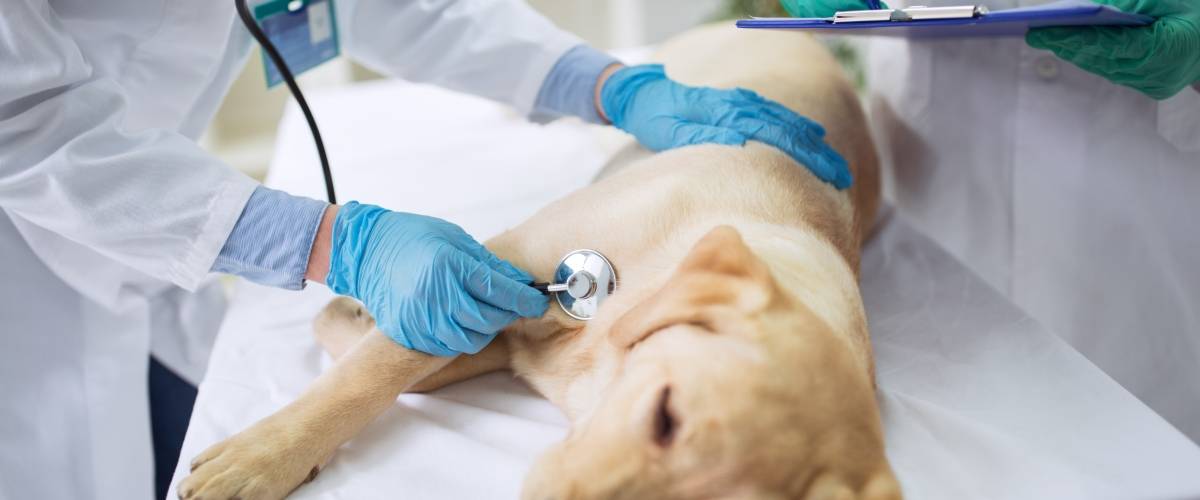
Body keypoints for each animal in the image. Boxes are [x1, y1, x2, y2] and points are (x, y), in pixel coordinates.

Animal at [180, 23, 902, 498]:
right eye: (666, 415)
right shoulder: (498, 262)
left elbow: (393, 360)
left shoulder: (489, 326)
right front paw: (261, 458)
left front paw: (352, 318)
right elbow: (366, 377)